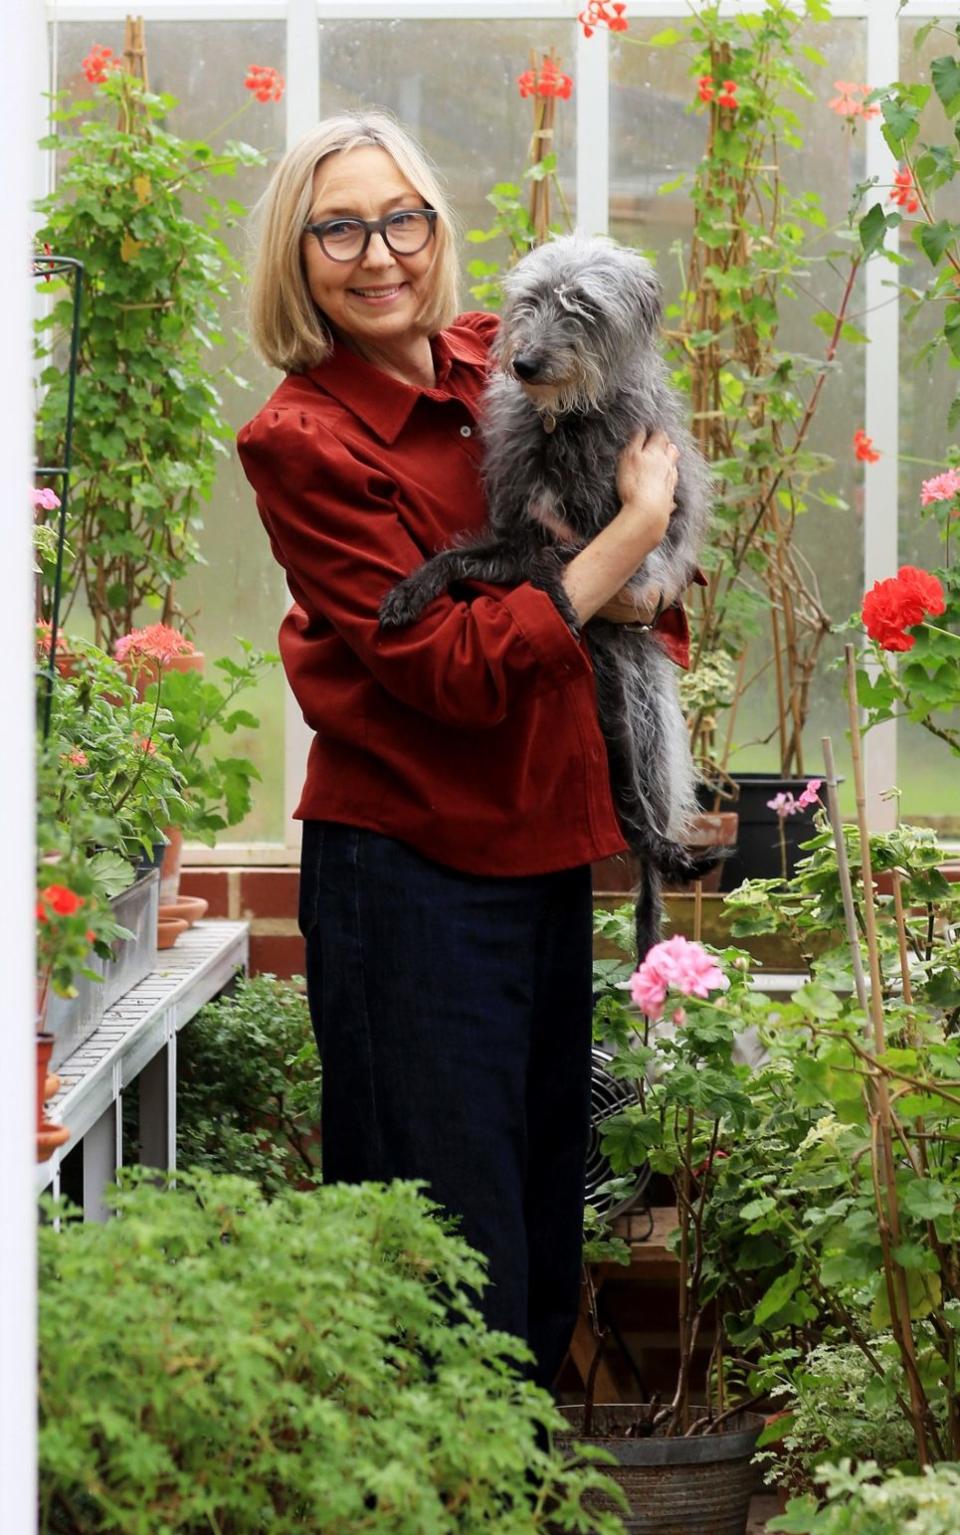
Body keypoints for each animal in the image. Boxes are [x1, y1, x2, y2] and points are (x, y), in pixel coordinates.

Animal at [377, 234, 715, 957]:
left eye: (582, 306)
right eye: (531, 301)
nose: (525, 363)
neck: (565, 423)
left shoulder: (624, 550)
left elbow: (549, 564)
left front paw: (554, 601)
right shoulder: (514, 529)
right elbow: (465, 554)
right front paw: (410, 592)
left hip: (642, 717)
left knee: (644, 823)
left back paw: (665, 870)